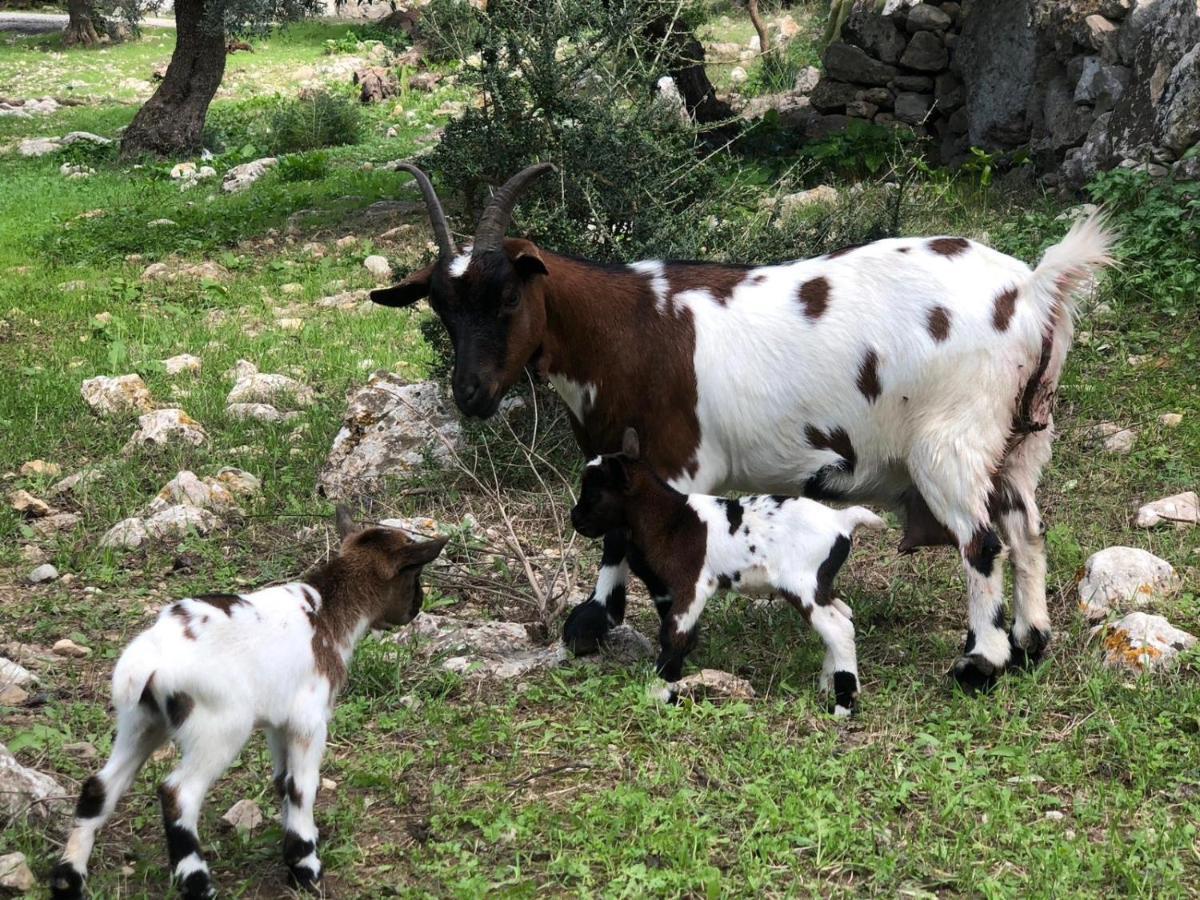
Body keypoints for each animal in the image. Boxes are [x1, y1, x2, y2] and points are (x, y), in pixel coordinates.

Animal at [49, 511, 448, 897]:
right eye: (415, 573)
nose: (416, 608)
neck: (329, 615)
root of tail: (149, 659)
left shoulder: (279, 722)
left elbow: (282, 781)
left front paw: (294, 858)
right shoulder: (309, 719)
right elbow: (301, 786)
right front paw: (307, 870)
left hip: (141, 720)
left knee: (100, 786)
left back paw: (69, 879)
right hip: (218, 727)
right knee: (178, 794)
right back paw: (198, 884)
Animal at [372, 164, 1113, 691]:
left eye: (505, 297)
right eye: (440, 307)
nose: (470, 394)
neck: (625, 330)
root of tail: (1034, 290)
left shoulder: (674, 459)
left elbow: (622, 536)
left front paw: (600, 621)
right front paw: (593, 623)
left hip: (951, 440)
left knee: (982, 541)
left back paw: (980, 664)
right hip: (1019, 440)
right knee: (1026, 530)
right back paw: (1031, 645)